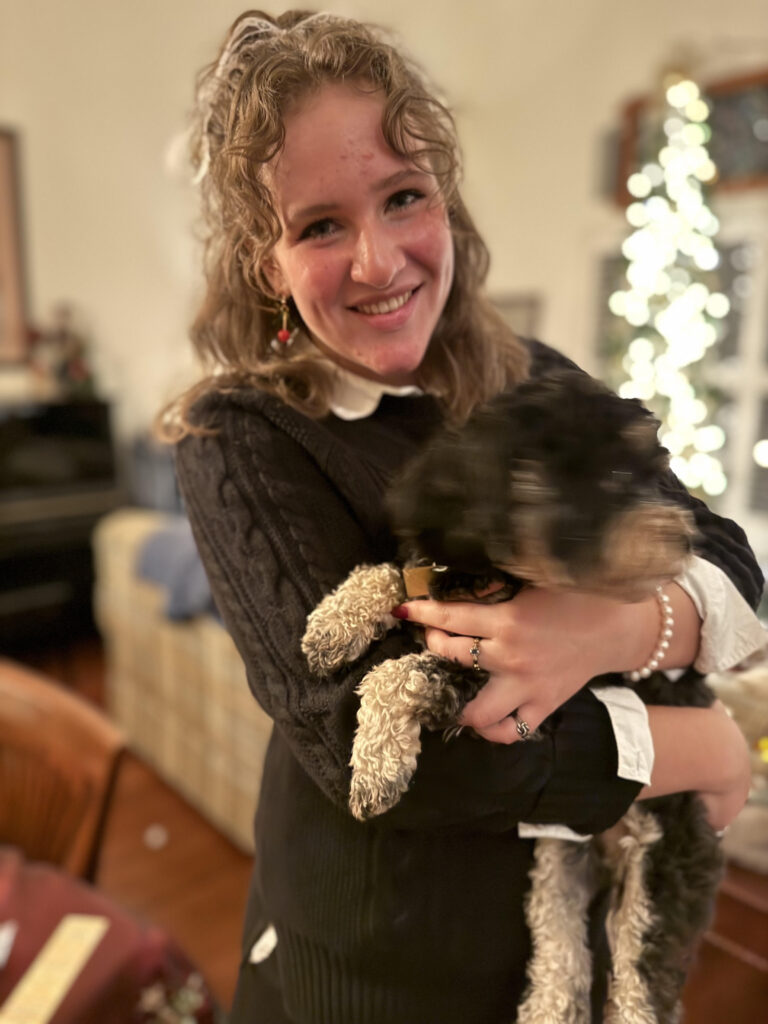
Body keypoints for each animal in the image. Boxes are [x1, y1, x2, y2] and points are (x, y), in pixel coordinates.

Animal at [303, 372, 729, 1019]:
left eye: (652, 467)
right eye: (612, 475)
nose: (685, 538)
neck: (493, 570)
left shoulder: (514, 685)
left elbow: (397, 675)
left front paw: (377, 766)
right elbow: (386, 573)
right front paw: (335, 621)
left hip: (661, 873)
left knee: (639, 988)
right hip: (559, 863)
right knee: (563, 964)